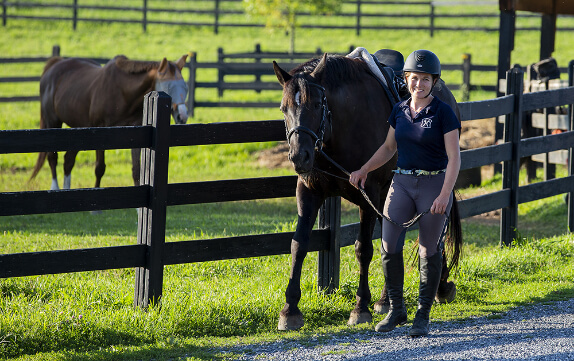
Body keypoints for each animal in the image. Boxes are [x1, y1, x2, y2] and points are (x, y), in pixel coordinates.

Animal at [29, 54, 189, 188]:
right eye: (168, 86)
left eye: (185, 87)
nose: (182, 116)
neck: (124, 94)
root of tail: (55, 64)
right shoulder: (101, 131)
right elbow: (100, 168)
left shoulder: (137, 133)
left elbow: (136, 170)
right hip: (53, 122)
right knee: (52, 157)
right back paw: (55, 188)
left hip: (79, 129)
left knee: (68, 160)